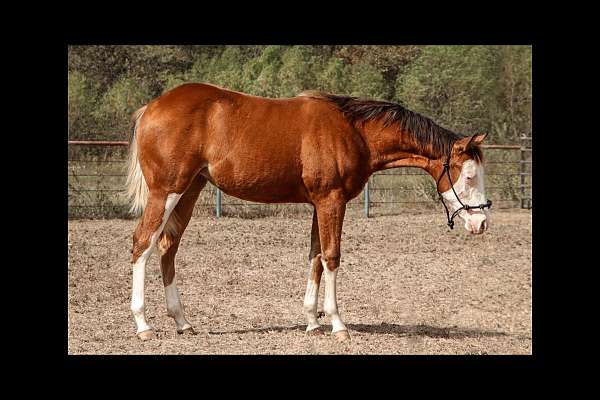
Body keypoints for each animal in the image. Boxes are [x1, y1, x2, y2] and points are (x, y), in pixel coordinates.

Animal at [124, 83, 490, 342]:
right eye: (469, 176)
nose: (482, 222)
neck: (353, 131)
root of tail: (152, 107)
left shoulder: (320, 204)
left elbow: (315, 256)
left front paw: (313, 322)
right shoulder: (332, 201)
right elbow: (331, 257)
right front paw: (337, 324)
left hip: (189, 190)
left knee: (167, 247)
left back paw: (183, 322)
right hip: (166, 191)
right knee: (143, 243)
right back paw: (143, 325)